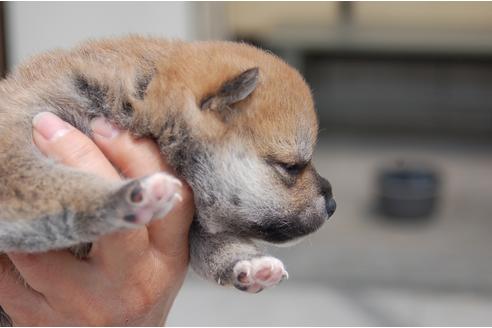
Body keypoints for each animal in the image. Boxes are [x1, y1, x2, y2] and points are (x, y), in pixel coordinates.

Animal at [0, 34, 334, 322]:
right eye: (291, 167)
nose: (332, 203)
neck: (139, 101)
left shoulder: (194, 225)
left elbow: (216, 247)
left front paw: (249, 264)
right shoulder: (16, 152)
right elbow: (57, 188)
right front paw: (130, 195)